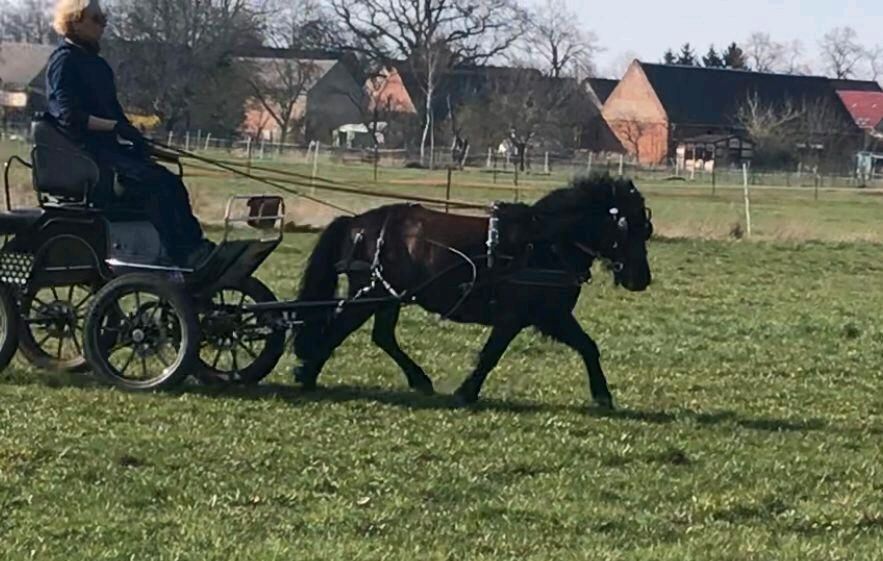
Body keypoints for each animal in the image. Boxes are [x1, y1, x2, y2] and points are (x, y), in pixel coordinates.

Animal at [294, 175, 652, 406]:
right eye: (629, 228)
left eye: (645, 229)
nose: (642, 280)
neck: (544, 242)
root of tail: (357, 222)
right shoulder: (520, 317)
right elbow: (491, 354)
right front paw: (467, 392)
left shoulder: (552, 316)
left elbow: (588, 346)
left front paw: (602, 394)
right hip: (370, 294)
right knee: (339, 327)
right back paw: (307, 373)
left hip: (388, 296)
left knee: (381, 336)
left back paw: (419, 380)